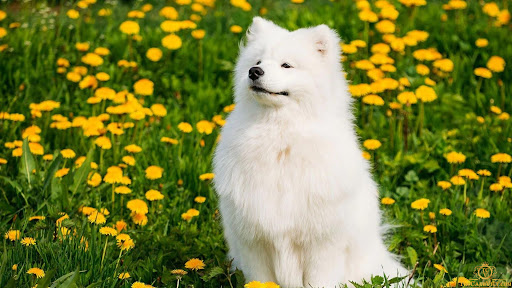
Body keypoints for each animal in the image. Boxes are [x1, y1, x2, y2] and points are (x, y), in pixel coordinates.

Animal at [212, 17, 408, 288]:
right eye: (258, 62)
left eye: (286, 65)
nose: (254, 72)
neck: (279, 139)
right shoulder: (253, 242)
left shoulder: (322, 245)